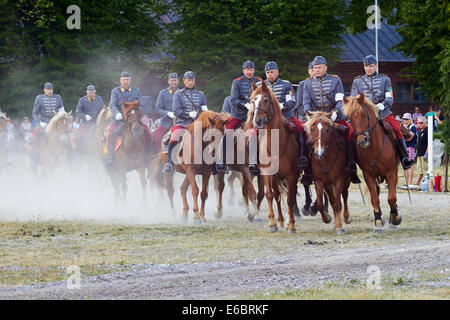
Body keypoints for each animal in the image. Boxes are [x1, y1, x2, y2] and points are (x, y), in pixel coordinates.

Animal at [250, 81, 298, 234]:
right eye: (252, 101)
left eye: (265, 100)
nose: (257, 121)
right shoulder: (267, 173)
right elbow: (269, 195)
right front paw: (272, 224)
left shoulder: (292, 174)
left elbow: (290, 199)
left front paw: (292, 226)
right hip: (276, 177)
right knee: (277, 194)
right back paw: (281, 221)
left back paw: (287, 221)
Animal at [342, 94, 402, 234]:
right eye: (350, 117)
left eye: (364, 115)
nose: (362, 140)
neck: (374, 149)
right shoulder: (368, 175)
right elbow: (375, 198)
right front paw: (378, 222)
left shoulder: (391, 172)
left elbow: (391, 197)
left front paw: (395, 217)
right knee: (377, 192)